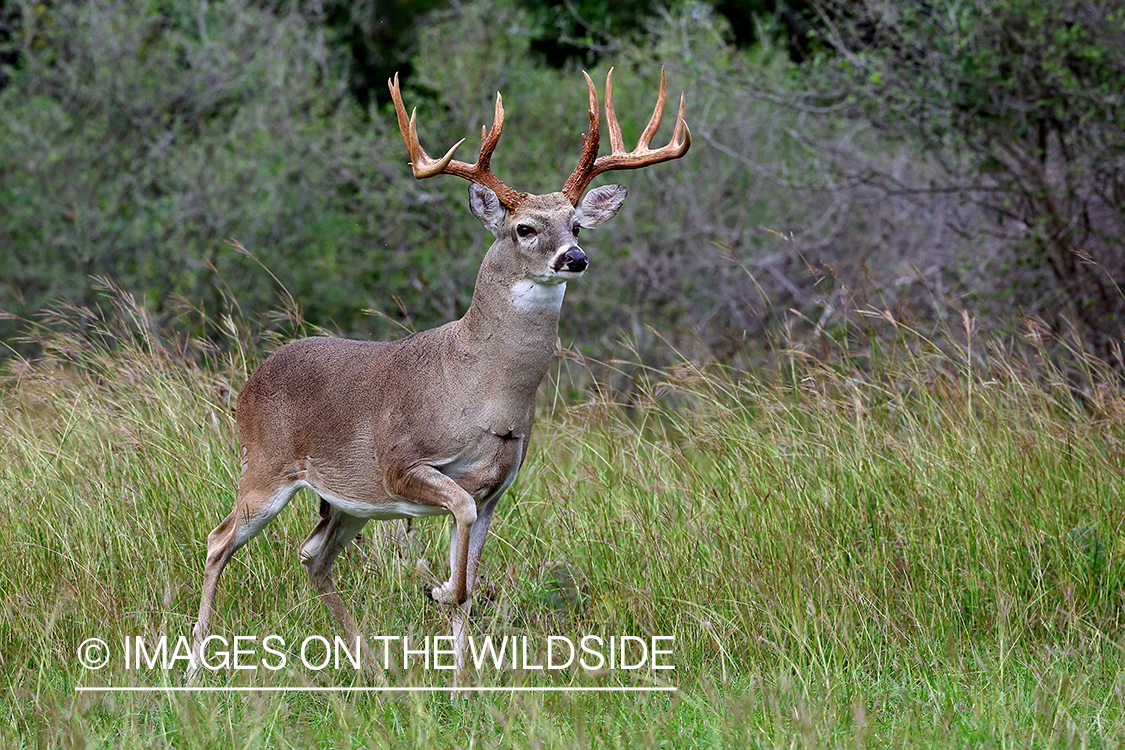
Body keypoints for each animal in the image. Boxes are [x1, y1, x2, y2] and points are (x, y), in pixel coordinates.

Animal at [189, 67, 688, 688]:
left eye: (576, 224)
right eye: (526, 228)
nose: (575, 257)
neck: (483, 394)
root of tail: (251, 383)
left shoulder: (496, 488)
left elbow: (469, 583)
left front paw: (462, 685)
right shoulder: (402, 463)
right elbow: (458, 556)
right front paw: (435, 589)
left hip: (348, 501)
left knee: (312, 555)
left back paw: (375, 672)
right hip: (265, 467)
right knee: (219, 541)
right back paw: (193, 667)